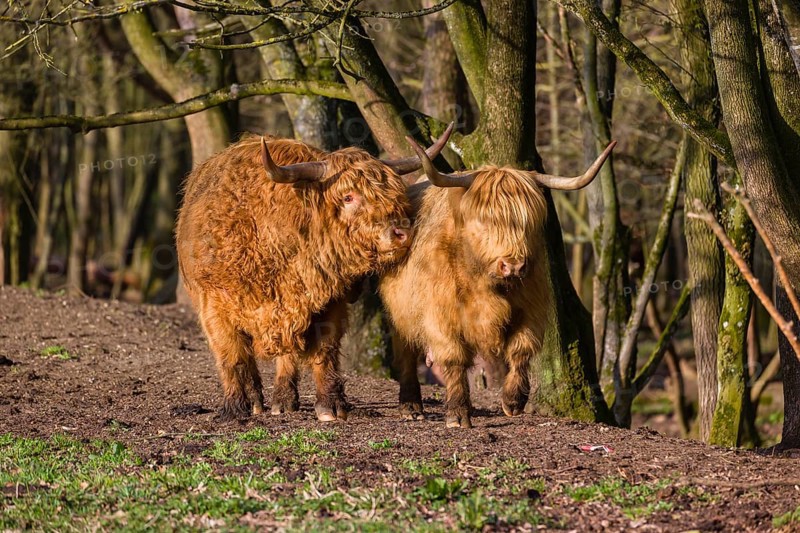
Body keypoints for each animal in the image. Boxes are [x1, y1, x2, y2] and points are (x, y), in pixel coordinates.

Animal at [176, 125, 453, 422]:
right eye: (348, 196)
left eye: (394, 193)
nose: (402, 232)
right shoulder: (213, 305)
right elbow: (232, 356)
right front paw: (234, 409)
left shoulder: (330, 302)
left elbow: (325, 351)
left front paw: (330, 406)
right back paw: (256, 401)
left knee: (287, 355)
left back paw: (283, 400)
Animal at [379, 139, 616, 428]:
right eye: (484, 220)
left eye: (528, 223)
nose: (513, 265)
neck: (485, 284)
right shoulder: (439, 315)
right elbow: (454, 358)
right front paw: (458, 413)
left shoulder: (532, 310)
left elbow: (521, 350)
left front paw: (513, 401)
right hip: (400, 313)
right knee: (405, 353)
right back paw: (411, 406)